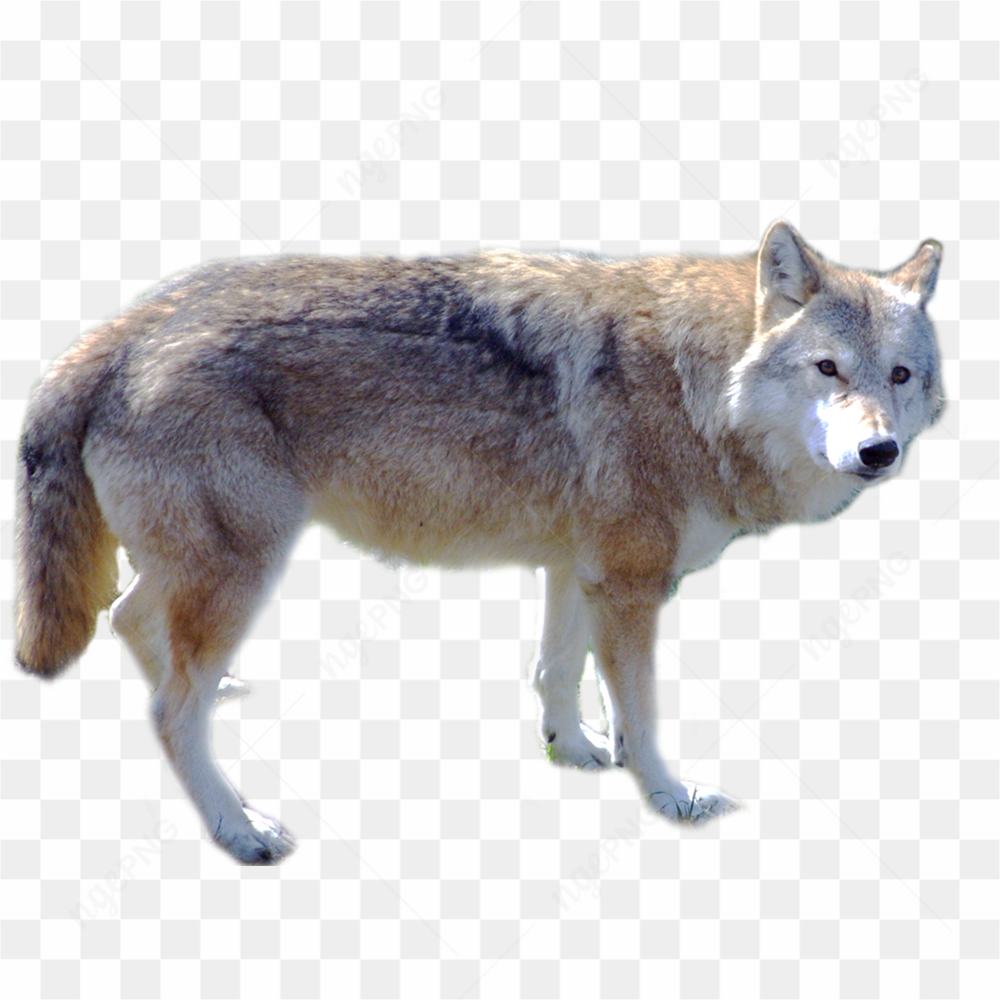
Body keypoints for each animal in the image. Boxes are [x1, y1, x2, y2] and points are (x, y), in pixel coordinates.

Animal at [15, 222, 943, 864]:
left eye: (900, 376)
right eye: (828, 369)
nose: (880, 452)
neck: (697, 386)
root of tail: (114, 334)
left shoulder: (579, 569)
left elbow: (558, 673)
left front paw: (574, 752)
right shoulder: (632, 586)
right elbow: (640, 714)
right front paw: (668, 796)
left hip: (202, 570)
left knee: (133, 624)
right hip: (247, 565)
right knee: (171, 710)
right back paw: (240, 829)